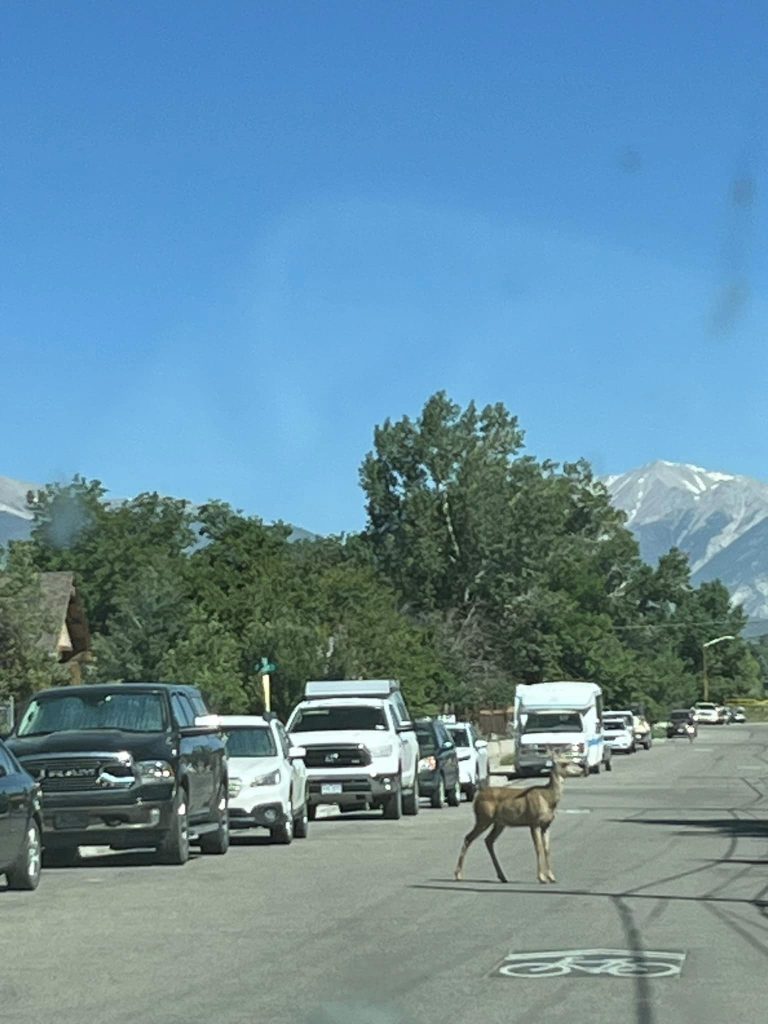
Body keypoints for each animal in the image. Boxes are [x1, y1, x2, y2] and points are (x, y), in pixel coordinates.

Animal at [454, 754, 584, 885]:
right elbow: (538, 848)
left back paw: (502, 876)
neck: (548, 798)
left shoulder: (546, 825)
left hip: (499, 823)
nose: (583, 769)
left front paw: (552, 877)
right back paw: (458, 875)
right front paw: (541, 877)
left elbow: (547, 849)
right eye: (565, 763)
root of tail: (477, 798)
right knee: (468, 838)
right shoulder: (534, 822)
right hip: (484, 818)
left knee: (488, 840)